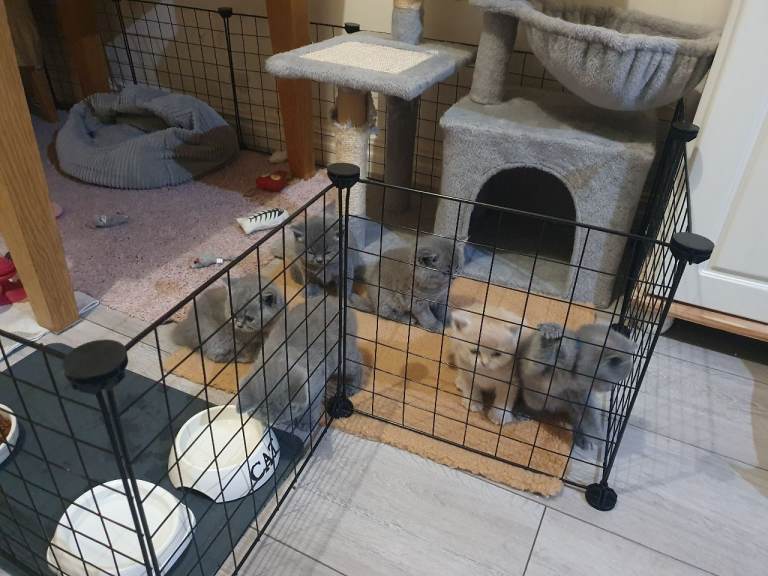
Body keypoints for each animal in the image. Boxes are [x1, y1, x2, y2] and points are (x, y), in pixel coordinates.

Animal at [237, 293, 363, 431]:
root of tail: (335, 299)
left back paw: (352, 386)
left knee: (357, 363)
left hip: (343, 355)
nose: (276, 424)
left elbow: (311, 407)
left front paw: (305, 422)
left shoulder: (317, 383)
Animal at [506, 322, 635, 449]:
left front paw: (596, 437)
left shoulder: (580, 393)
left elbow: (588, 415)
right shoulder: (534, 373)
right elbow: (535, 365)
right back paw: (522, 411)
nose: (610, 388)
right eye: (613, 382)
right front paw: (550, 335)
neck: (573, 374)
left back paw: (580, 437)